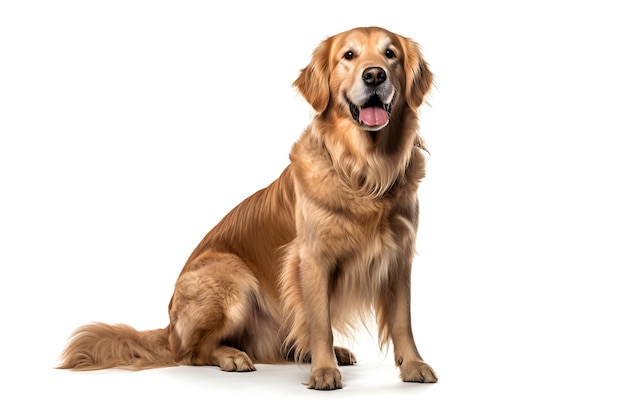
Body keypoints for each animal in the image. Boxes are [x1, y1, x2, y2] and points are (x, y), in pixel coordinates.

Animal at [61, 26, 436, 390]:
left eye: (390, 54)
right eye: (349, 55)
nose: (374, 75)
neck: (365, 173)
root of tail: (168, 329)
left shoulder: (399, 257)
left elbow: (402, 320)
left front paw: (413, 365)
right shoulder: (310, 259)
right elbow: (319, 321)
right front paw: (323, 371)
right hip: (231, 276)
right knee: (192, 353)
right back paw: (233, 356)